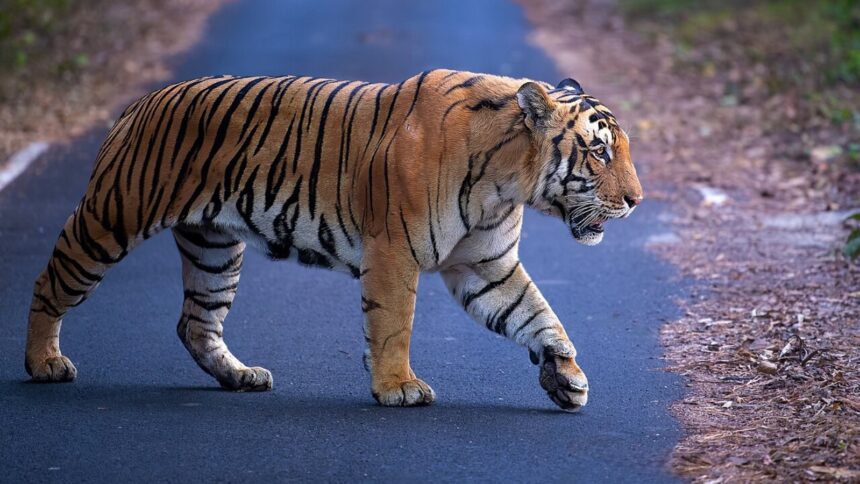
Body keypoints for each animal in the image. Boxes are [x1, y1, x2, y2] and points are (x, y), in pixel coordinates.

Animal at [25, 69, 643, 411]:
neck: (507, 181)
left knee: (195, 322)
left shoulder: (486, 265)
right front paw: (397, 388)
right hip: (111, 218)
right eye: (599, 152)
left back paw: (242, 377)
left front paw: (566, 376)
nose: (637, 200)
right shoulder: (395, 251)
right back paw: (44, 363)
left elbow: (537, 314)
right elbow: (393, 324)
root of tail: (141, 102)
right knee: (49, 282)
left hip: (215, 248)